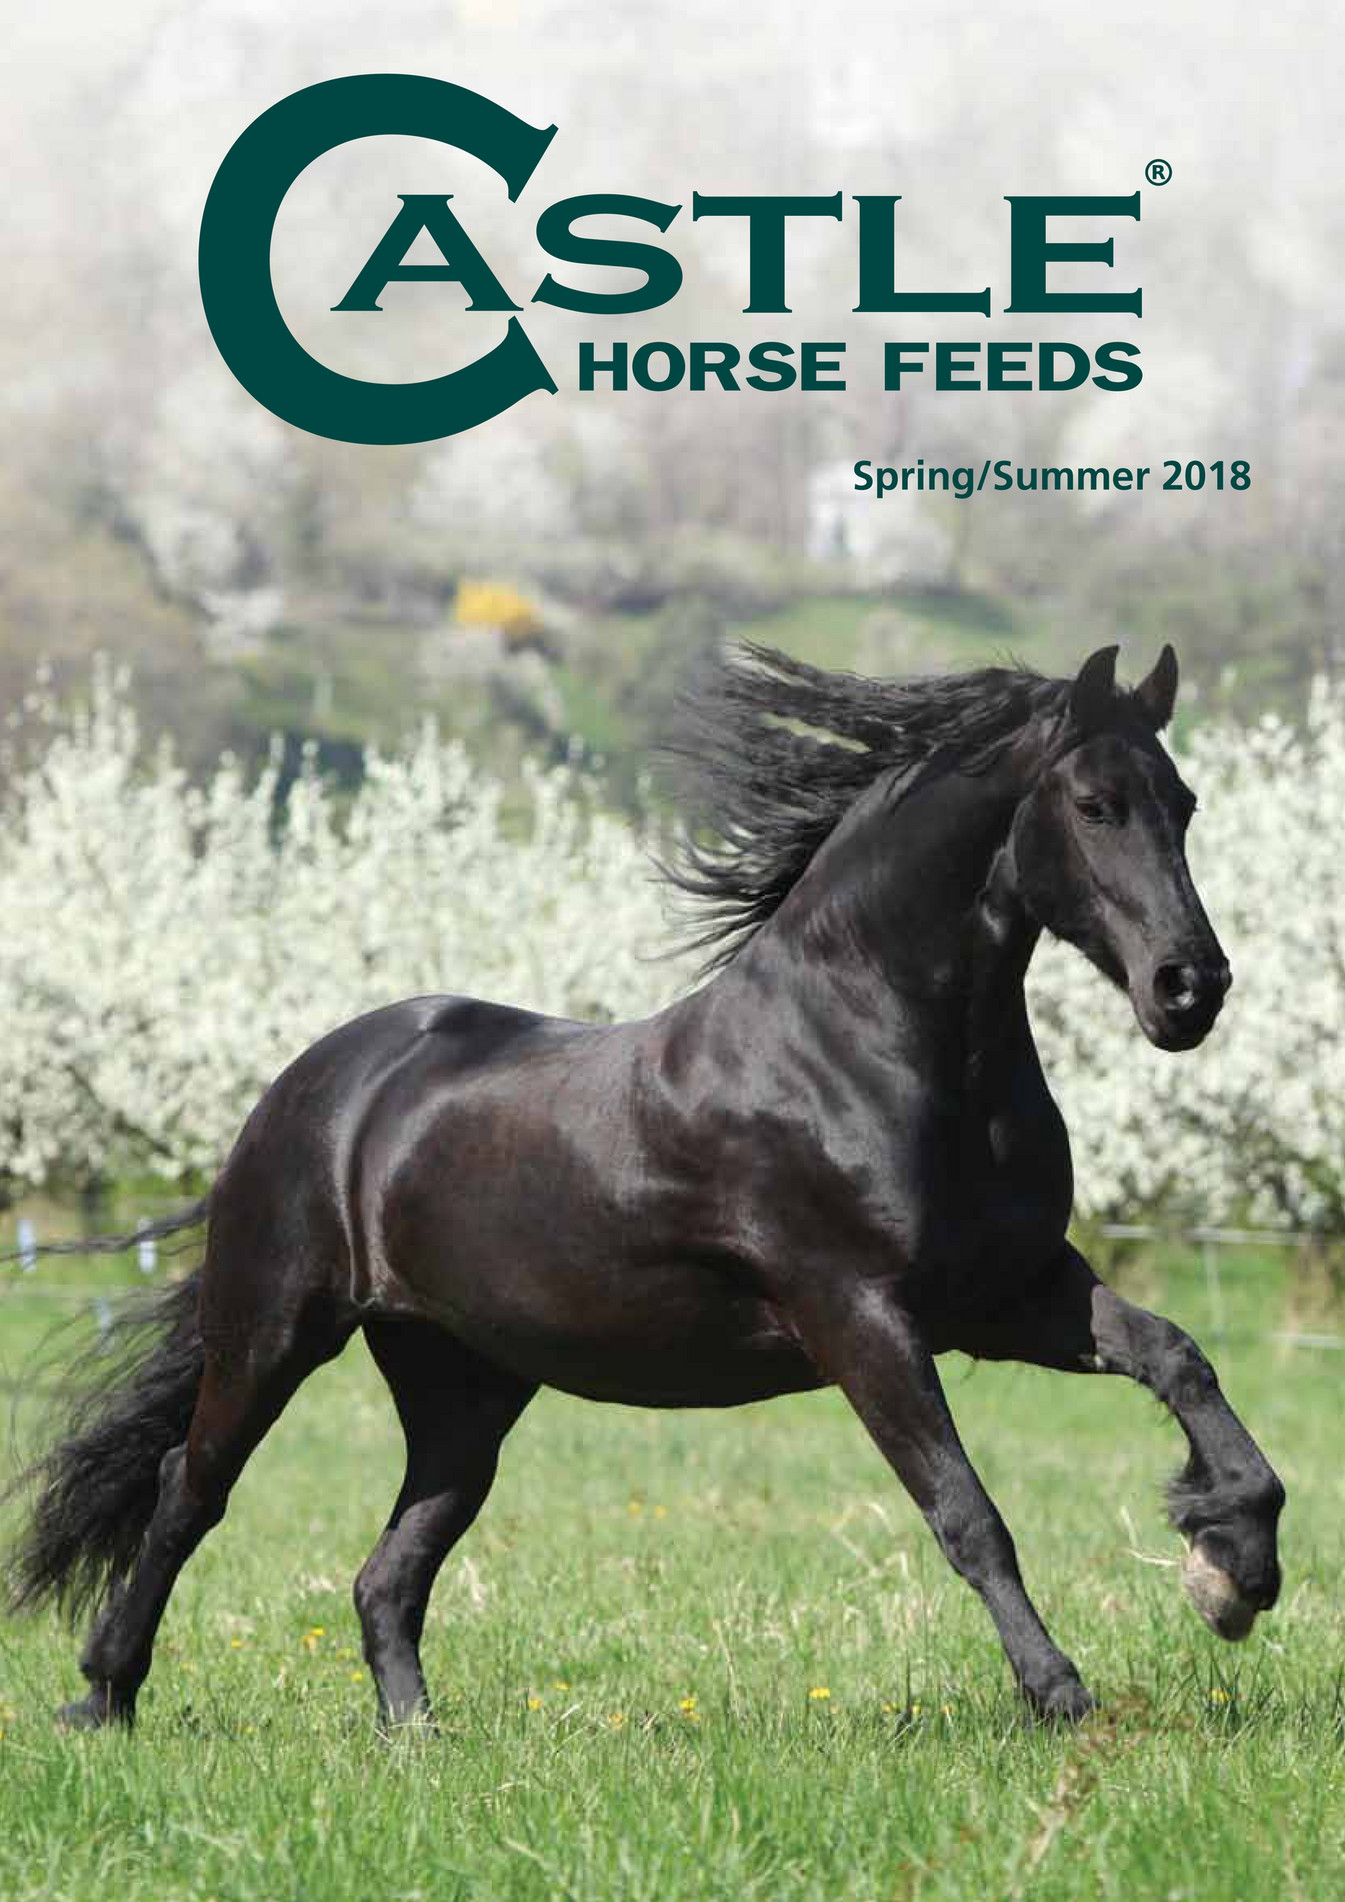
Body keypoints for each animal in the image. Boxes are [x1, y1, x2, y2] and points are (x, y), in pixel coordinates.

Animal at [5, 640, 1284, 1731]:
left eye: (1183, 803)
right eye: (1094, 805)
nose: (1190, 988)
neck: (868, 1047)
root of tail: (309, 1086)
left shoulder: (1011, 1294)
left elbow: (1177, 1358)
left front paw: (1231, 1566)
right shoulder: (860, 1316)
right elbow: (967, 1514)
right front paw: (1060, 1692)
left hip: (464, 1386)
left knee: (388, 1567)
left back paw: (416, 1737)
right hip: (274, 1331)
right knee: (188, 1489)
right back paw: (102, 1698)